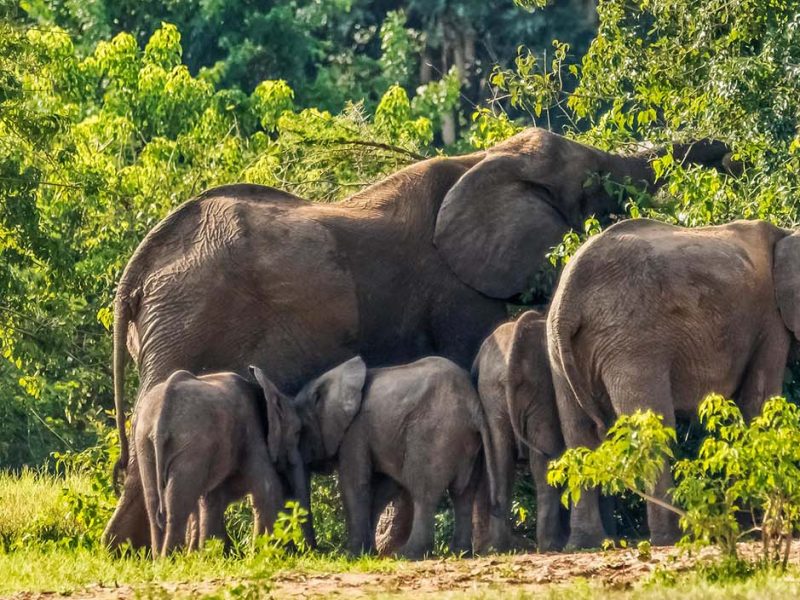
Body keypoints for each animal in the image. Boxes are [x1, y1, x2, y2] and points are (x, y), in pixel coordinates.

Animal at [134, 368, 304, 556]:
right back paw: (169, 558)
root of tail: (160, 418)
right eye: (297, 432)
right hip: (192, 443)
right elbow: (267, 490)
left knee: (153, 503)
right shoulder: (252, 433)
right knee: (177, 505)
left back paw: (160, 559)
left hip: (144, 443)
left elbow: (212, 499)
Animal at [472, 310, 564, 552]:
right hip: (538, 387)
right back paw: (550, 545)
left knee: (501, 461)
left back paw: (502, 547)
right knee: (543, 460)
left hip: (494, 391)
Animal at [548, 219, 800, 548]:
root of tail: (569, 298)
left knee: (578, 435)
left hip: (559, 351)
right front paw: (754, 526)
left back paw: (584, 543)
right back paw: (671, 537)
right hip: (632, 342)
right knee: (653, 430)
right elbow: (758, 403)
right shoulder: (770, 321)